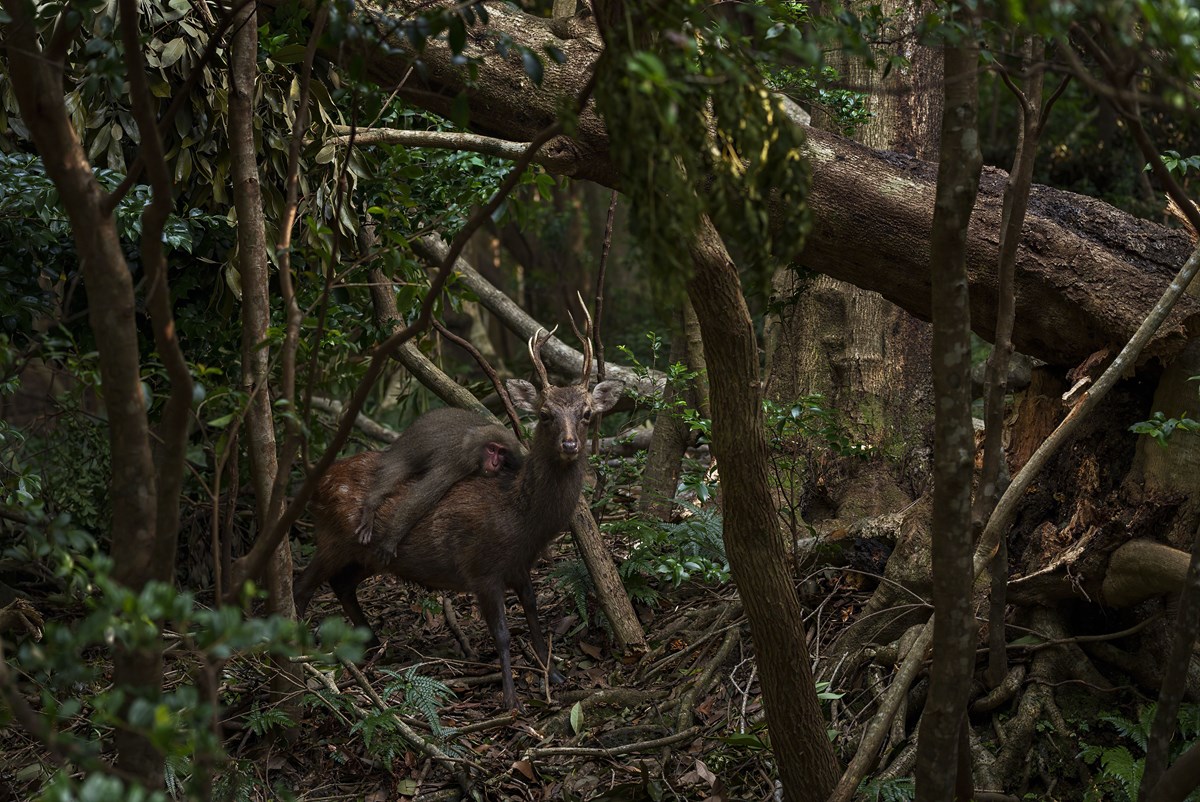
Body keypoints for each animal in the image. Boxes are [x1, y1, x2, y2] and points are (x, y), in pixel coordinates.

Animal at [355, 410, 525, 554]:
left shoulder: (516, 460)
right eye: (491, 449)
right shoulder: (458, 460)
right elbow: (419, 499)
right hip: (406, 449)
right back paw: (371, 503)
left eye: (502, 452)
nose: (495, 463)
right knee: (395, 469)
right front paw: (390, 540)